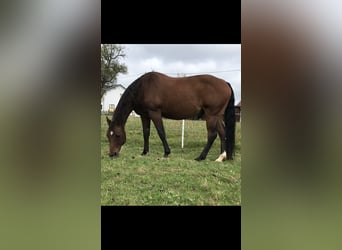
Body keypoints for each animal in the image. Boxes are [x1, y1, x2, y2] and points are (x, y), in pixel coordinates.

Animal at [106, 71, 235, 161]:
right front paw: (144, 152)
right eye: (108, 135)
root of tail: (225, 83)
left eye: (117, 135)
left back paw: (201, 157)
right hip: (217, 116)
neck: (143, 87)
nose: (112, 154)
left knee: (212, 135)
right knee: (222, 133)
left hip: (211, 115)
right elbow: (146, 133)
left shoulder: (155, 113)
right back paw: (221, 157)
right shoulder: (145, 115)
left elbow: (161, 132)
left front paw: (167, 152)